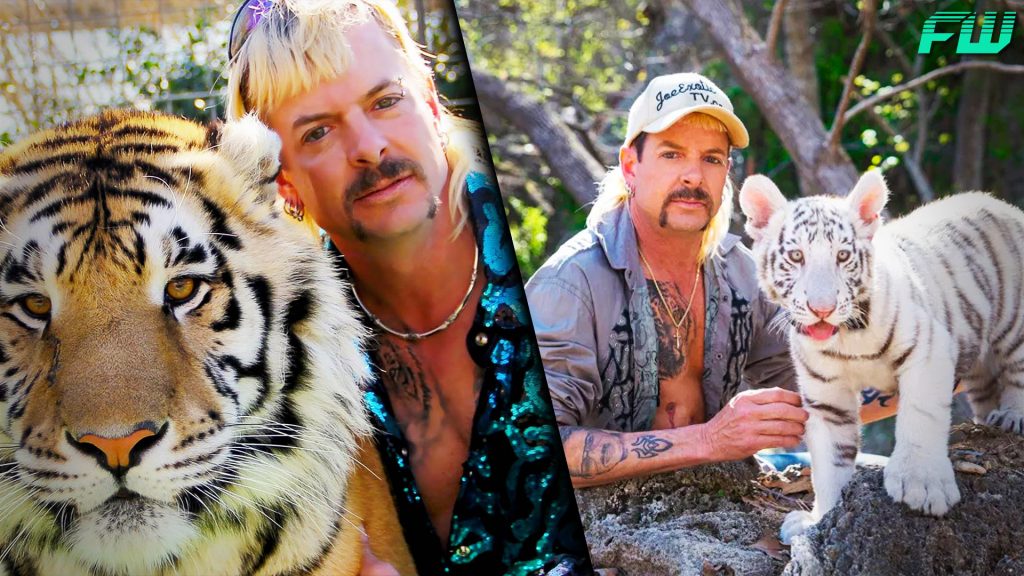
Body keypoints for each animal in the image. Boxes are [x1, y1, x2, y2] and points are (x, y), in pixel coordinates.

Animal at [738, 170, 1024, 543]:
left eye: (843, 256)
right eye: (797, 257)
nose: (822, 309)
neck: (847, 337)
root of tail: (1002, 205)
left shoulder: (928, 349)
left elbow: (920, 416)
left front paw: (922, 485)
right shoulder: (826, 395)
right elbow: (829, 463)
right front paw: (821, 520)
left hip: (1014, 321)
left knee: (1017, 369)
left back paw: (1012, 417)